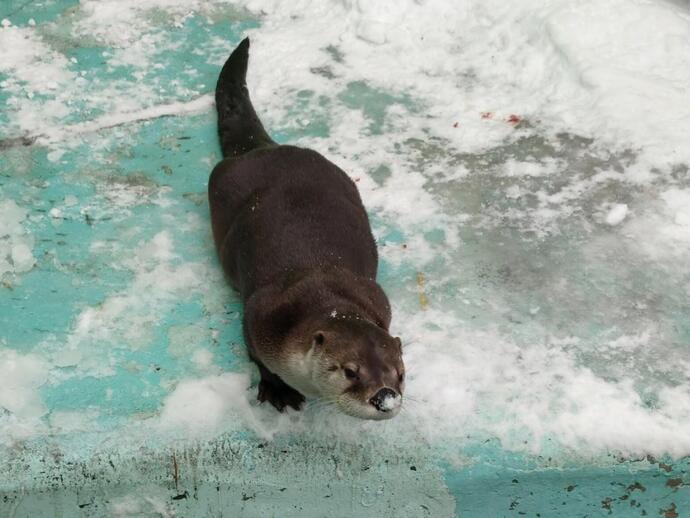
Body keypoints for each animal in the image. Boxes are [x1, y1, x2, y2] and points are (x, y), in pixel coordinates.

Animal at [206, 39, 404, 422]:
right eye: (350, 371)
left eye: (399, 373)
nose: (384, 396)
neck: (324, 295)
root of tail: (263, 149)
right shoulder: (259, 315)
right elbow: (257, 358)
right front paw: (279, 389)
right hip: (221, 182)